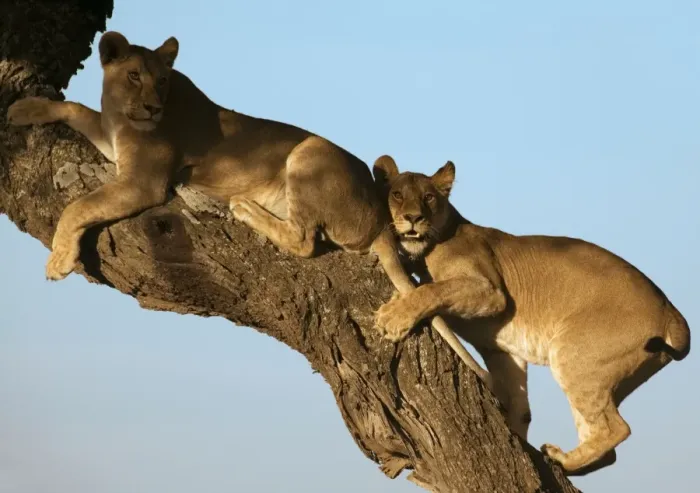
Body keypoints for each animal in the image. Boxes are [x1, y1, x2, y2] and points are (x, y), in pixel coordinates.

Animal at [6, 31, 488, 380]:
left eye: (161, 80)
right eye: (133, 76)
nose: (152, 107)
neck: (122, 114)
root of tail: (380, 216)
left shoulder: (144, 183)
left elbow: (78, 206)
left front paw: (59, 260)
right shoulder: (114, 145)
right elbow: (73, 107)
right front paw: (24, 108)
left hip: (307, 150)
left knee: (304, 240)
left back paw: (245, 207)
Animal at [372, 156, 690, 475]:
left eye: (428, 197)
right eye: (397, 194)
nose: (413, 218)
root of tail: (672, 312)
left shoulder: (491, 291)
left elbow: (432, 289)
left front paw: (392, 317)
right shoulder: (503, 352)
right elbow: (519, 407)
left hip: (573, 354)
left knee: (616, 428)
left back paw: (561, 458)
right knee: (606, 444)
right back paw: (563, 462)